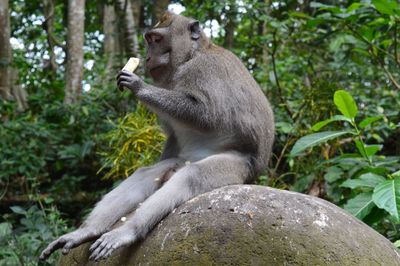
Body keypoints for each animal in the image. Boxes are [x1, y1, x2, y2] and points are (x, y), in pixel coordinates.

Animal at [39, 11, 276, 262]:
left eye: (157, 39)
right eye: (149, 40)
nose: (147, 57)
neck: (193, 54)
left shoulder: (204, 70)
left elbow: (206, 114)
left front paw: (139, 87)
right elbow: (173, 134)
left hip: (239, 167)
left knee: (192, 176)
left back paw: (128, 231)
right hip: (181, 160)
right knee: (148, 173)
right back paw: (87, 231)